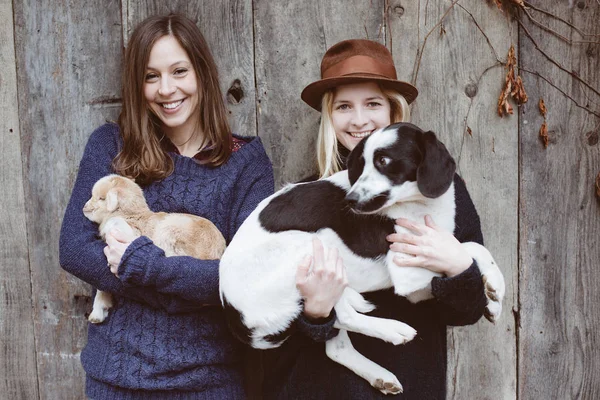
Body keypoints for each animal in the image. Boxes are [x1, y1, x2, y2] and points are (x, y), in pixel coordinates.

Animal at [83, 173, 226, 324]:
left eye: (101, 198)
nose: (85, 207)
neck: (128, 214)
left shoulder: (129, 234)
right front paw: (99, 311)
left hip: (169, 230)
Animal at [218, 122, 504, 394]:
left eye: (384, 161)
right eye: (361, 163)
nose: (350, 199)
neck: (419, 205)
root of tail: (233, 314)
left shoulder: (421, 276)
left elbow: (469, 250)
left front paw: (493, 297)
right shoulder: (408, 275)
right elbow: (468, 248)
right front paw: (495, 289)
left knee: (336, 346)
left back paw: (379, 375)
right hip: (312, 248)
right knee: (344, 315)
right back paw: (392, 330)